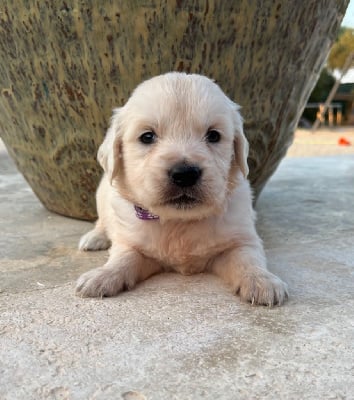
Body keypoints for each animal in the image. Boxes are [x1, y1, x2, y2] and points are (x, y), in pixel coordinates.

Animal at [76, 72, 290, 304]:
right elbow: (123, 257)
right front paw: (103, 275)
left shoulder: (241, 239)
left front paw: (261, 281)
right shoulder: (132, 242)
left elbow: (247, 259)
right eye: (147, 136)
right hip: (102, 195)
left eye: (213, 135)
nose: (185, 174)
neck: (180, 222)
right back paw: (94, 238)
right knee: (102, 221)